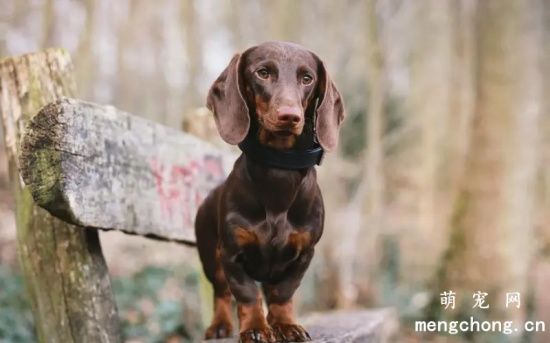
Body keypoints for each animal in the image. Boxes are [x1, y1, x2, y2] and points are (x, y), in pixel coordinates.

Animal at [197, 41, 344, 343]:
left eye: (307, 78)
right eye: (263, 73)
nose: (289, 116)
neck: (279, 170)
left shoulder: (303, 254)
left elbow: (282, 294)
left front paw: (286, 325)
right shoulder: (232, 254)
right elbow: (247, 295)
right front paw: (255, 328)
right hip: (210, 258)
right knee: (221, 293)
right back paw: (219, 326)